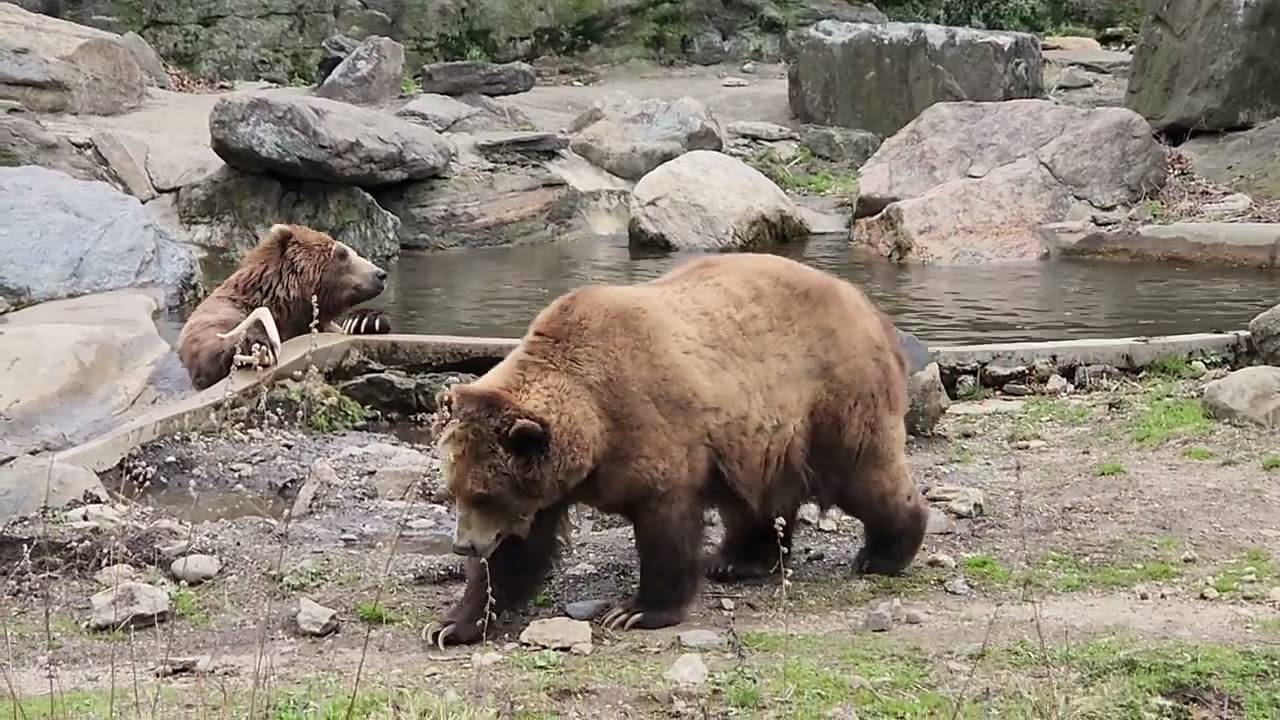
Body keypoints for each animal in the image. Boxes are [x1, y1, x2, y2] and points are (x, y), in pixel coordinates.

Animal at [176, 223, 393, 391]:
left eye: (350, 251)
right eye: (341, 254)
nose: (380, 274)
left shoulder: (321, 324)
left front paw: (365, 321)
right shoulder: (220, 312)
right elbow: (212, 342)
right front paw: (258, 346)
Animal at [422, 252, 929, 648]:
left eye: (486, 494)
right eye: (455, 490)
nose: (463, 545)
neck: (595, 426)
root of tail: (867, 305)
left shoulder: (652, 432)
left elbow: (664, 528)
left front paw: (636, 611)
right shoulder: (547, 485)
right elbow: (516, 552)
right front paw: (453, 624)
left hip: (830, 398)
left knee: (864, 473)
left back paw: (883, 554)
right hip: (760, 438)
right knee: (759, 498)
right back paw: (738, 561)